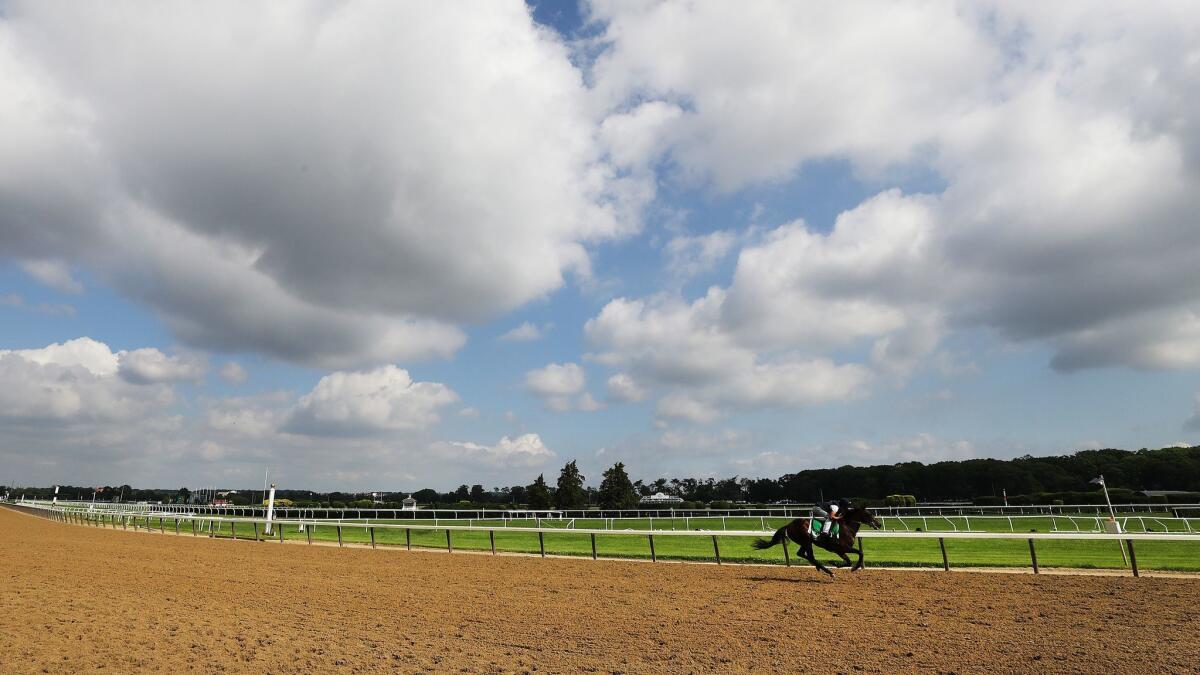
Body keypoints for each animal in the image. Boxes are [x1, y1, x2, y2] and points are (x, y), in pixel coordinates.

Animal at [753, 502, 888, 576]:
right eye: (868, 514)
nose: (879, 524)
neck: (847, 527)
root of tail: (789, 525)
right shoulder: (842, 548)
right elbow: (860, 553)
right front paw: (853, 567)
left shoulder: (840, 551)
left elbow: (849, 560)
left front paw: (836, 564)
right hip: (807, 541)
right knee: (809, 556)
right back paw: (829, 572)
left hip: (805, 542)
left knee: (802, 554)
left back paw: (820, 567)